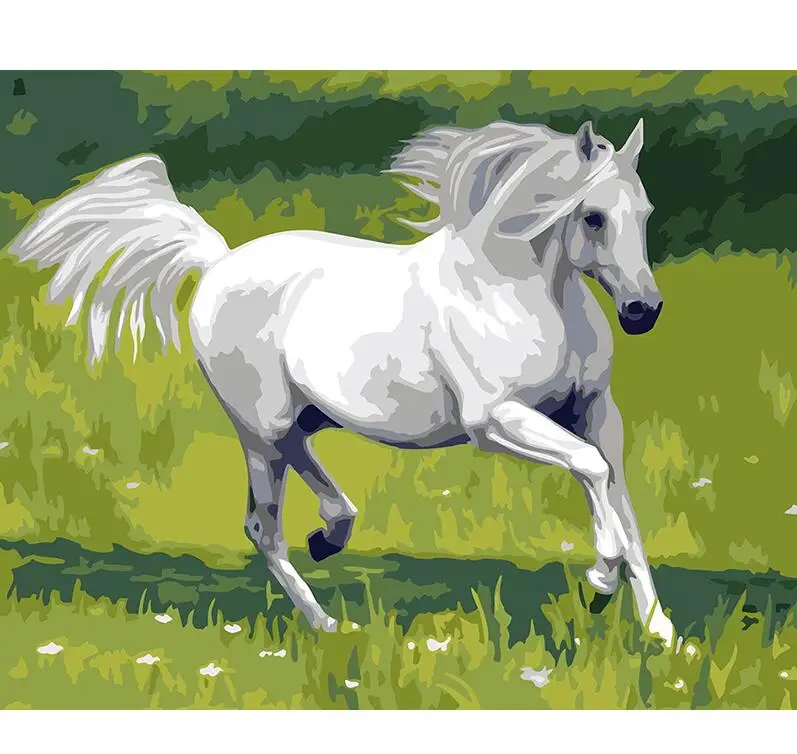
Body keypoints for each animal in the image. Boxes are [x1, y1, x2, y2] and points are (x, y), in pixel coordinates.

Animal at [6, 117, 676, 646]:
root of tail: (218, 260)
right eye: (592, 217)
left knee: (307, 476)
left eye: (644, 213)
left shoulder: (595, 412)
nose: (643, 311)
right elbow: (591, 471)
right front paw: (599, 581)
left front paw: (660, 631)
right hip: (258, 428)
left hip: (300, 419)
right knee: (262, 527)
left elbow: (620, 497)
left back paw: (330, 537)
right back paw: (325, 620)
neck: (520, 292)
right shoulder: (493, 420)